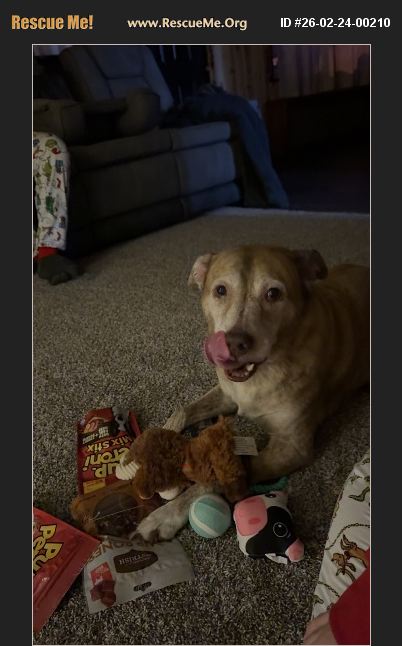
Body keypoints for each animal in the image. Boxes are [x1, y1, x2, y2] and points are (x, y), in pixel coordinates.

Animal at [135, 245, 369, 542]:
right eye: (220, 290)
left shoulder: (292, 448)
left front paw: (166, 514)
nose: (234, 343)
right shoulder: (227, 393)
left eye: (273, 293)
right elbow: (183, 410)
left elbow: (222, 473)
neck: (258, 377)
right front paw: (152, 446)